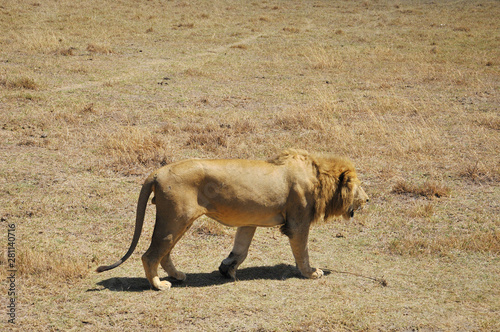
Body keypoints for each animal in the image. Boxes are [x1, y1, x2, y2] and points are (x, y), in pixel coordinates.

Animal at [97, 149, 370, 290]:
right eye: (358, 186)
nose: (367, 199)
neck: (317, 175)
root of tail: (157, 171)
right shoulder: (297, 222)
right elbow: (302, 251)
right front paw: (311, 273)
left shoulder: (249, 221)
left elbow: (241, 248)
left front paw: (227, 269)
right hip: (175, 218)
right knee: (150, 255)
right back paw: (159, 285)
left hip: (179, 221)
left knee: (164, 254)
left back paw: (178, 276)